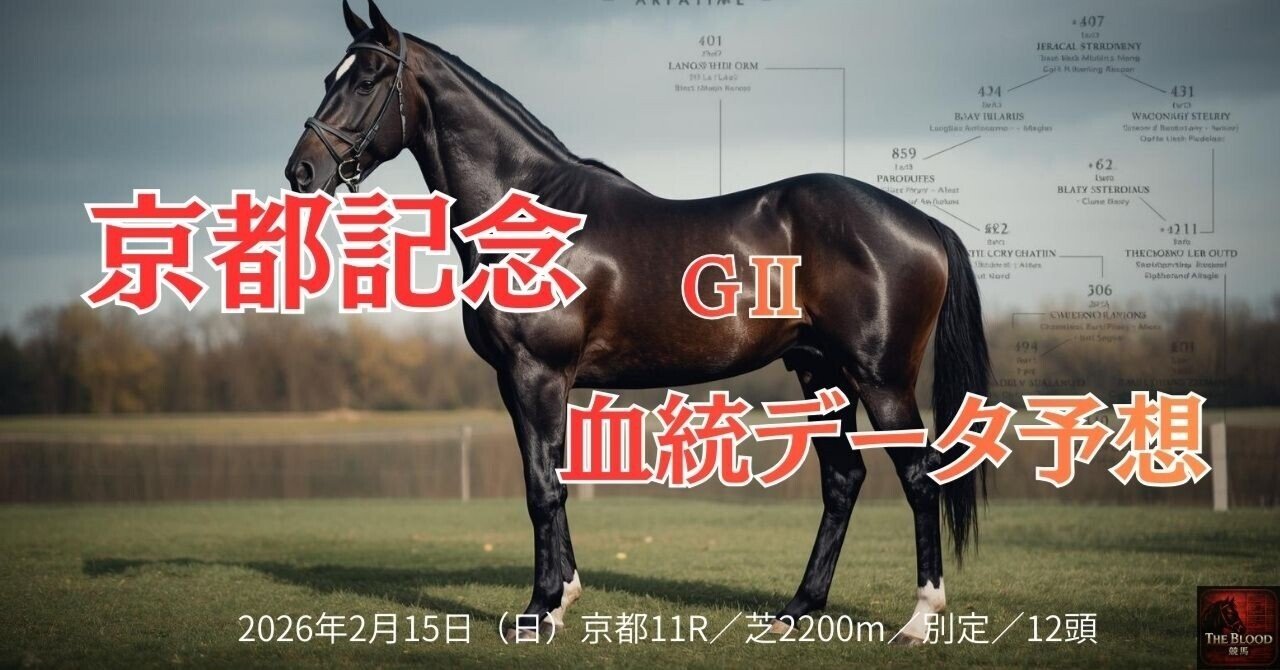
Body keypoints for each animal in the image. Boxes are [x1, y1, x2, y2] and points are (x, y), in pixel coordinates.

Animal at [285, 0, 991, 643]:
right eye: (327, 77)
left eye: (367, 80)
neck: (532, 217)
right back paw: (797, 610)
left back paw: (919, 620)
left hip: (880, 379)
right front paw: (562, 598)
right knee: (844, 478)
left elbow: (541, 488)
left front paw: (538, 612)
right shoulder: (526, 383)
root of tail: (923, 222)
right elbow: (552, 477)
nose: (302, 171)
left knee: (919, 478)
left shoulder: (536, 374)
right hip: (821, 372)